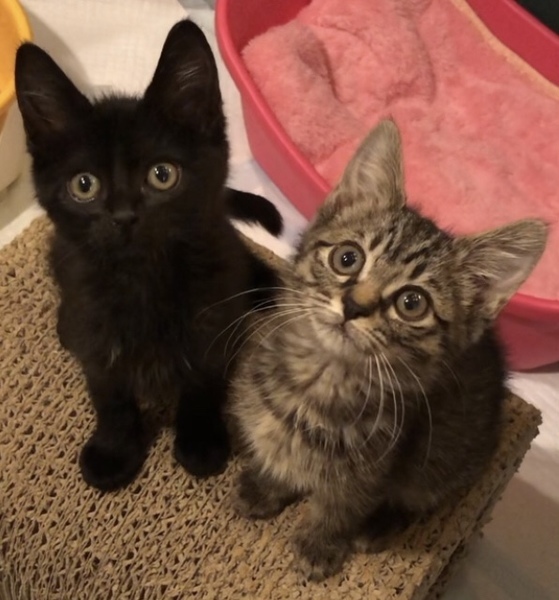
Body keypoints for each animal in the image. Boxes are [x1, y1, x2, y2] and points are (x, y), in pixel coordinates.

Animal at [14, 19, 283, 492]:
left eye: (162, 175)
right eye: (84, 185)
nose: (123, 217)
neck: (143, 282)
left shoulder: (211, 318)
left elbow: (202, 380)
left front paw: (200, 440)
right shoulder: (97, 328)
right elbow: (109, 393)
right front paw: (114, 450)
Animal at [230, 119, 547, 581]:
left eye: (412, 303)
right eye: (347, 258)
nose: (354, 305)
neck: (322, 380)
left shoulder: (374, 469)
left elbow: (341, 507)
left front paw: (319, 543)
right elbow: (279, 454)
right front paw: (265, 486)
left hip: (447, 457)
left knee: (421, 496)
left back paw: (379, 526)